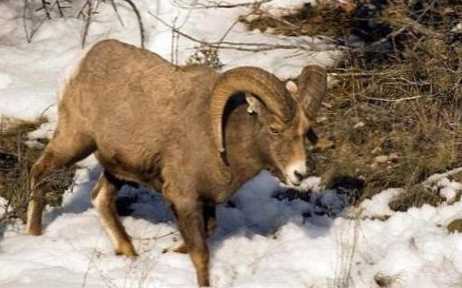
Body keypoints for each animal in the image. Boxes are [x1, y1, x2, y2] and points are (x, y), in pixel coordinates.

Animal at [27, 39, 326, 286]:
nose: (299, 173)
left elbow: (207, 231)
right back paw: (33, 234)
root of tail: (81, 62)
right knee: (39, 170)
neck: (222, 140)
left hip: (117, 170)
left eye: (305, 131)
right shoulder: (183, 198)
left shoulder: (204, 202)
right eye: (275, 129)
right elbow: (201, 254)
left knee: (100, 198)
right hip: (75, 141)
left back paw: (129, 253)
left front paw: (169, 251)